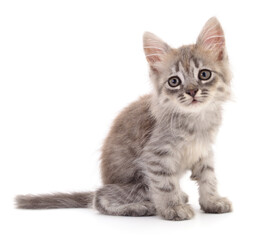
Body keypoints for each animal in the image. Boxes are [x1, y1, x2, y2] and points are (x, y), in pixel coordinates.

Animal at [15, 15, 231, 220]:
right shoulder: (156, 157)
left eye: (204, 74)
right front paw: (173, 207)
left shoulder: (204, 151)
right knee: (98, 198)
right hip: (139, 185)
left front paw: (212, 201)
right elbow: (165, 185)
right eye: (174, 81)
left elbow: (208, 177)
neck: (196, 119)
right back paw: (142, 207)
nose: (192, 91)